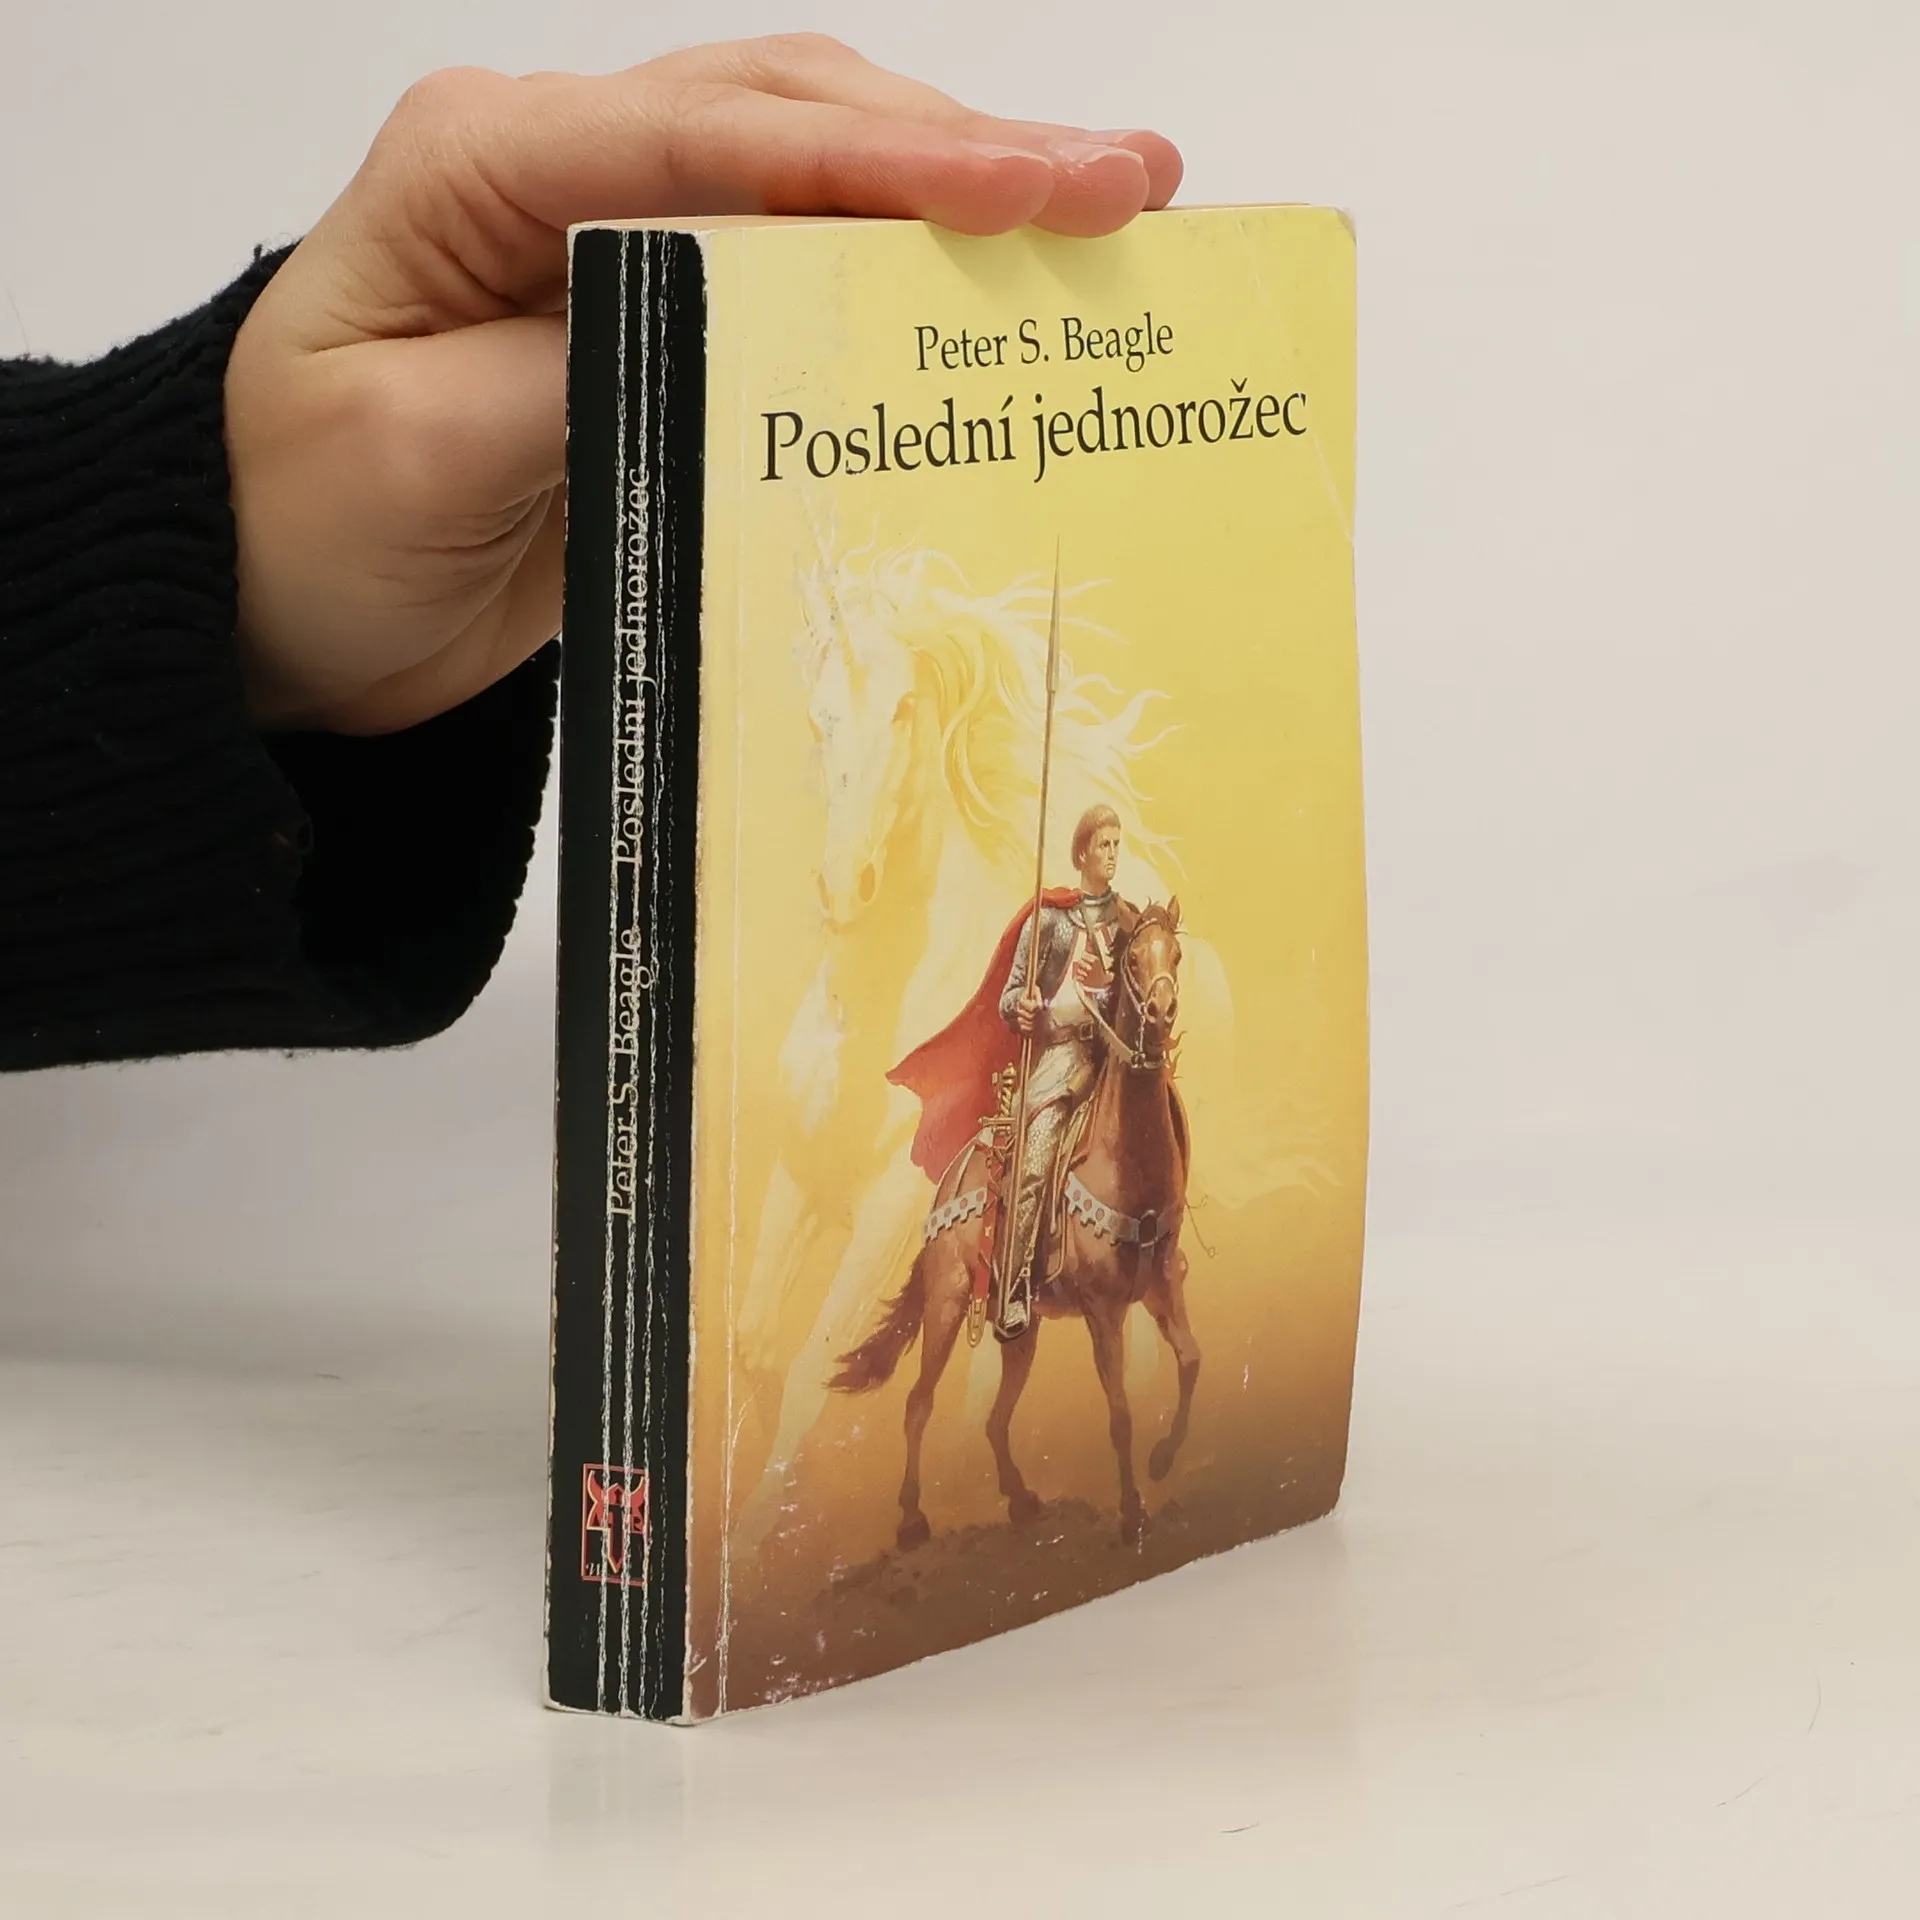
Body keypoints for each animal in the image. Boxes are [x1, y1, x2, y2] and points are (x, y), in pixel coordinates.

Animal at [828, 902, 1200, 1549]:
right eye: (1133, 956)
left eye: (1174, 954)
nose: (1161, 1012)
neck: (1127, 1155)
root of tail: (951, 1181)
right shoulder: (1104, 1310)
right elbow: (1121, 1411)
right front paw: (1131, 1513)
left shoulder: (1160, 1287)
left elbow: (1190, 1361)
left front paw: (1162, 1460)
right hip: (948, 1300)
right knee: (918, 1403)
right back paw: (911, 1519)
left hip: (1019, 1329)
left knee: (996, 1418)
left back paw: (1022, 1499)